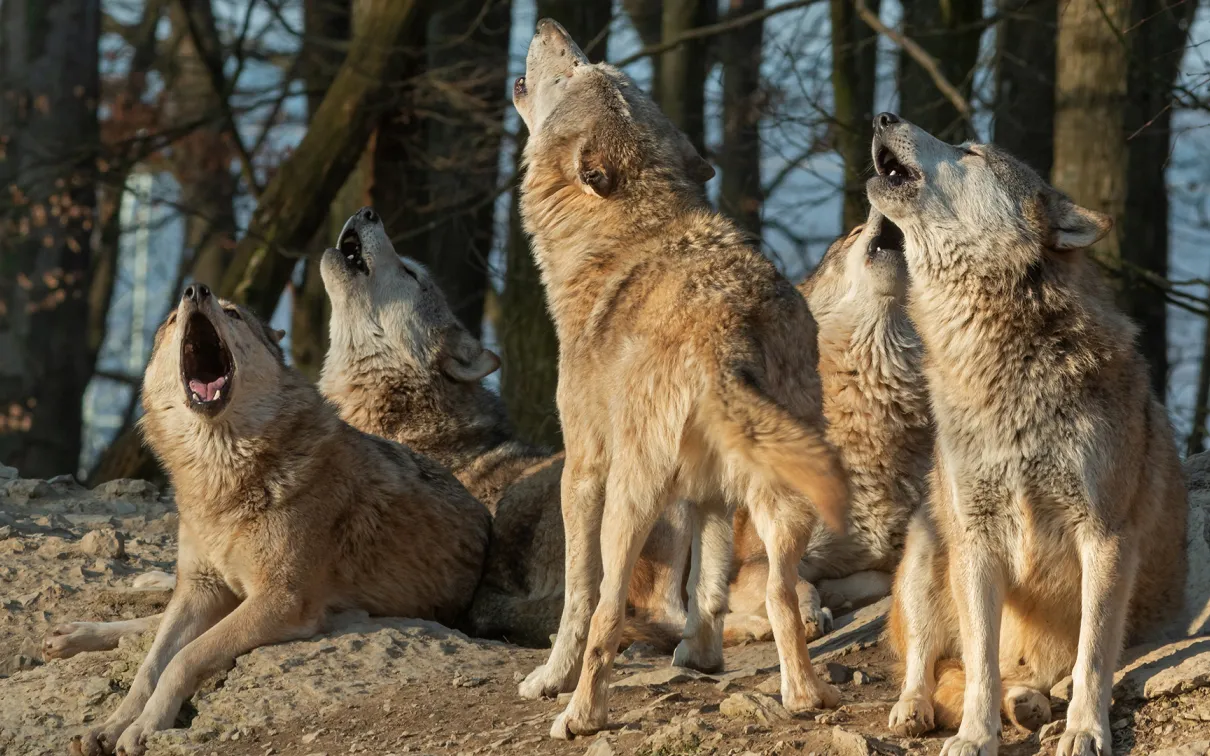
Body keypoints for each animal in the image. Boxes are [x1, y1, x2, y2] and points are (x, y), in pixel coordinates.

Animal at [71, 284, 490, 756]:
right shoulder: (200, 587)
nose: (196, 289)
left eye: (233, 313)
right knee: (150, 624)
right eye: (172, 319)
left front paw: (144, 727)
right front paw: (113, 723)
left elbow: (183, 657)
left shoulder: (280, 599)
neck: (222, 473)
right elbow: (150, 664)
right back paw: (68, 635)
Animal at [513, 18, 850, 739]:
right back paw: (805, 696)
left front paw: (549, 679)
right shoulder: (710, 493)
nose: (550, 24)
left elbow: (577, 599)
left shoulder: (582, 468)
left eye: (583, 70)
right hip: (786, 492)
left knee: (609, 609)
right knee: (781, 593)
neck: (617, 232)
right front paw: (700, 656)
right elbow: (710, 584)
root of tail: (730, 328)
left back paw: (580, 715)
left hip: (632, 499)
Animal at [724, 207, 933, 644]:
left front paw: (836, 594)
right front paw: (806, 613)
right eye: (854, 232)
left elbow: (879, 577)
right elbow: (792, 583)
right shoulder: (757, 559)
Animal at [868, 112, 1187, 756]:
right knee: (927, 662)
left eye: (969, 151)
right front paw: (974, 736)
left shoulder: (1105, 537)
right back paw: (917, 708)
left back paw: (1035, 702)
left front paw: (1086, 730)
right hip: (928, 545)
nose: (885, 116)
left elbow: (1094, 656)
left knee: (1043, 676)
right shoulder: (977, 540)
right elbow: (980, 665)